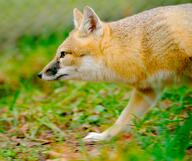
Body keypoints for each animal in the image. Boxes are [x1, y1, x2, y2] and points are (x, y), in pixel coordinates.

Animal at [38, 3, 192, 142]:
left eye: (63, 54)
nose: (39, 74)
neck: (142, 48)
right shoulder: (148, 89)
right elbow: (121, 121)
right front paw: (102, 137)